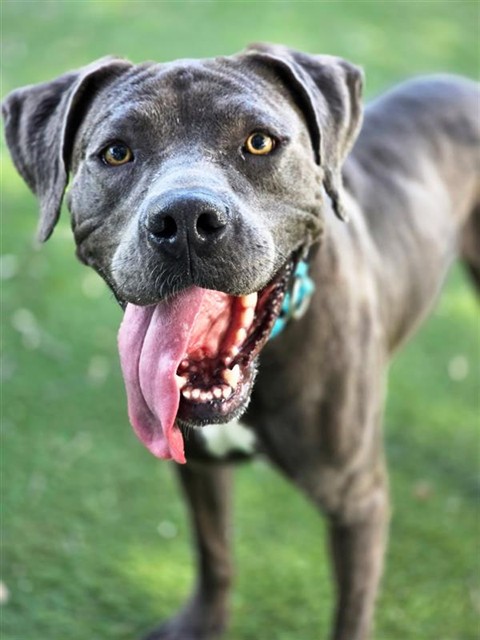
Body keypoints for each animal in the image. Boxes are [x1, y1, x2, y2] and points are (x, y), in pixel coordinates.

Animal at [3, 44, 479, 640]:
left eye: (259, 142)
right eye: (116, 152)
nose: (185, 218)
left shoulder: (357, 503)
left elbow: (352, 611)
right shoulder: (199, 466)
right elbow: (214, 553)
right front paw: (203, 623)